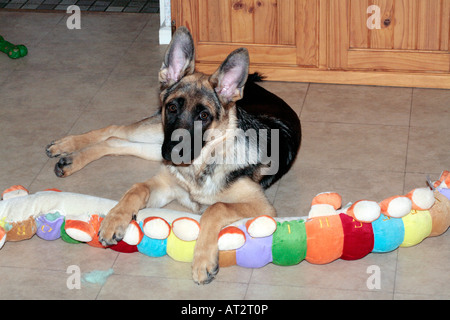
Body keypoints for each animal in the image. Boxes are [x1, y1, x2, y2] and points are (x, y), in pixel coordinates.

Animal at [45, 26, 300, 284]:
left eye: (204, 116)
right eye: (172, 107)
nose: (174, 152)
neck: (201, 165)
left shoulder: (262, 206)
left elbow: (216, 207)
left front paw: (202, 260)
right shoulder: (164, 184)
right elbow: (138, 188)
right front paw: (115, 219)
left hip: (153, 145)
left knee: (115, 141)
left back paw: (69, 158)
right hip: (156, 136)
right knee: (114, 131)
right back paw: (66, 148)